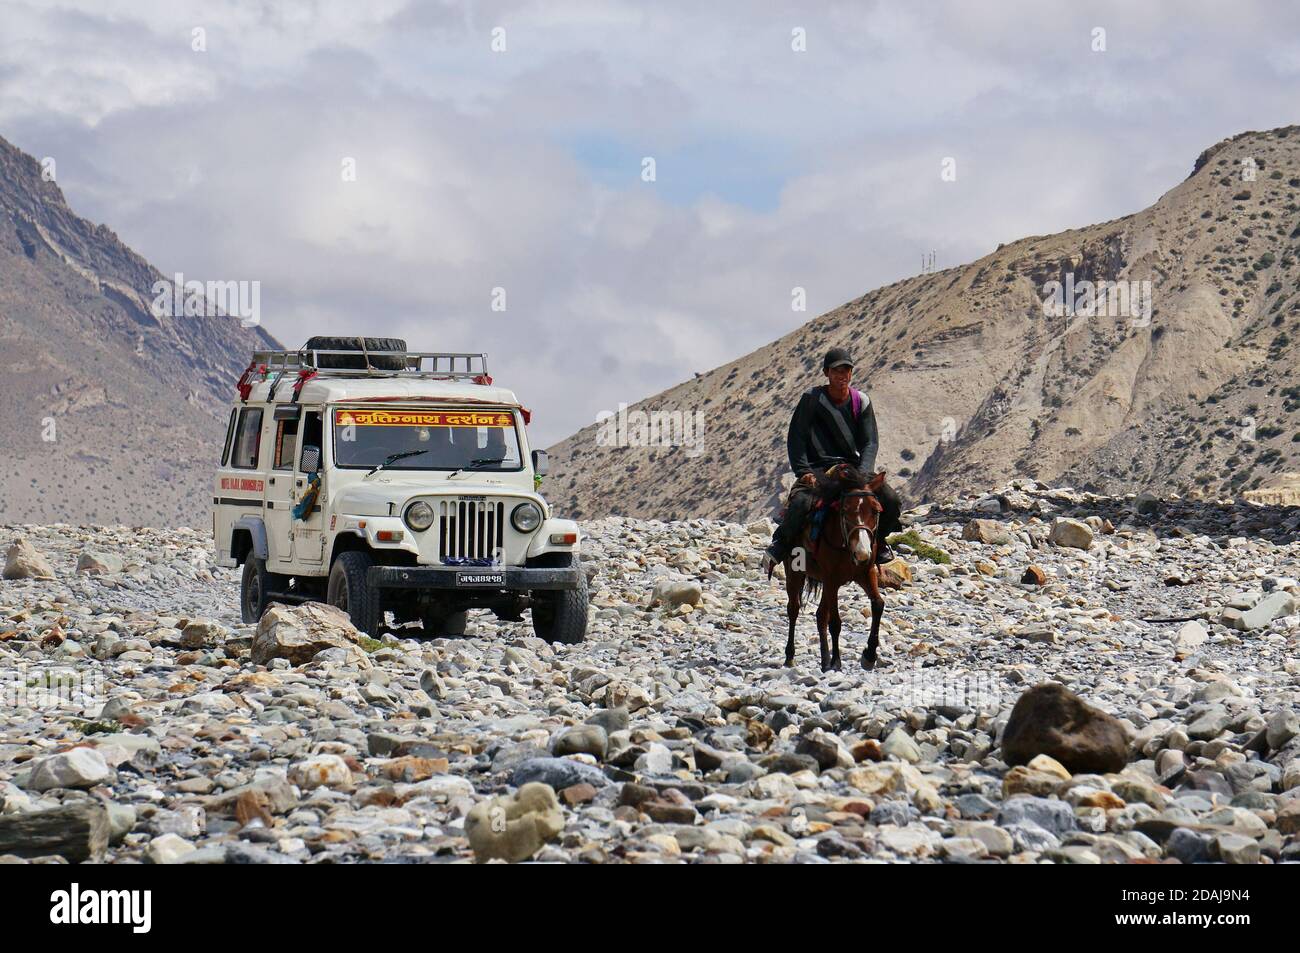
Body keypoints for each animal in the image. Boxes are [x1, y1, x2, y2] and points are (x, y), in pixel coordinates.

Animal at [774, 465, 889, 670]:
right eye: (845, 510)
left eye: (876, 511)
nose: (862, 553)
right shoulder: (831, 580)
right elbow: (835, 622)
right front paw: (837, 661)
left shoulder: (865, 573)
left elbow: (878, 605)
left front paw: (869, 655)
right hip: (795, 572)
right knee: (794, 609)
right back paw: (791, 656)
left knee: (820, 615)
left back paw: (825, 660)